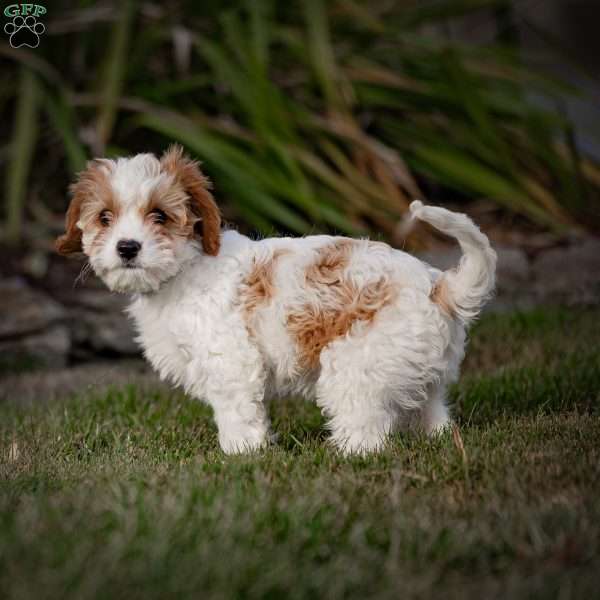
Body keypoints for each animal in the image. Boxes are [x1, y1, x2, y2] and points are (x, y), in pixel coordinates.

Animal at [56, 146, 496, 454]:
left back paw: (349, 453)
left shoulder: (229, 361)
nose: (127, 247)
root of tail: (439, 286)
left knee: (367, 429)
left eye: (160, 216)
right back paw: (437, 437)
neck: (184, 268)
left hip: (357, 366)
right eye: (104, 218)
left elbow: (236, 411)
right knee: (431, 410)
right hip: (421, 371)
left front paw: (241, 454)